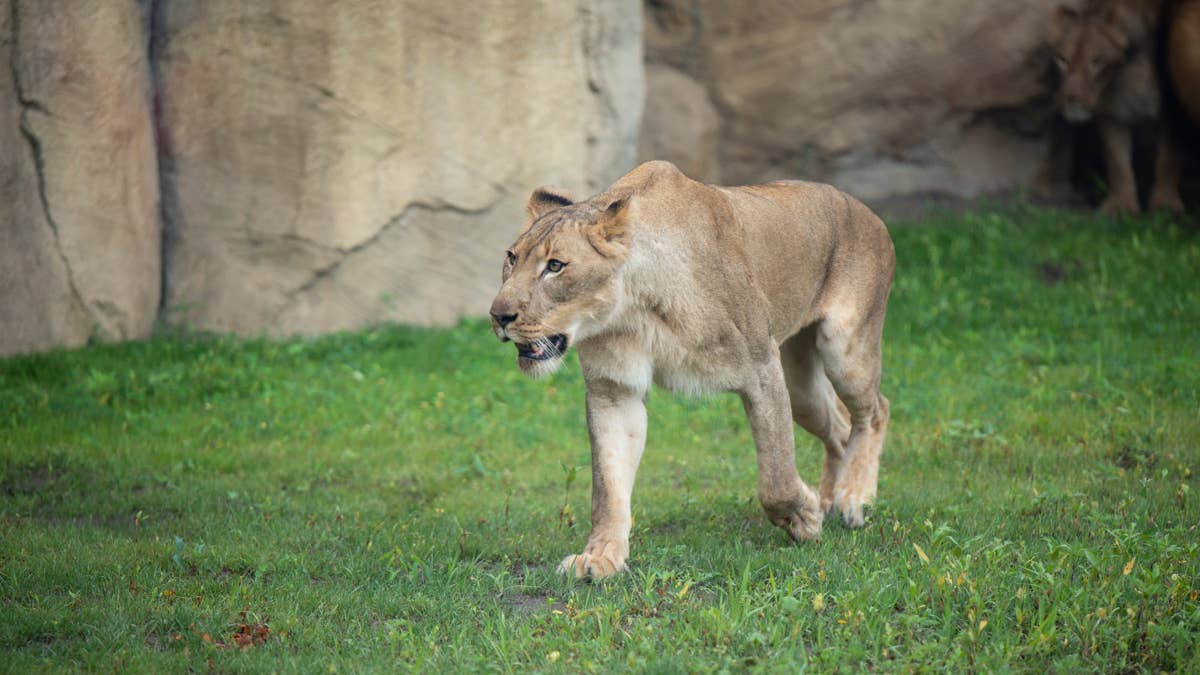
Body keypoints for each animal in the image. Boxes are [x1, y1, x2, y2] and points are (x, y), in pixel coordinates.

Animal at [489, 161, 895, 579]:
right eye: (511, 258)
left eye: (555, 266)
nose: (498, 316)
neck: (635, 307)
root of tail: (866, 211)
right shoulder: (614, 390)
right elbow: (608, 486)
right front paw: (600, 557)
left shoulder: (761, 367)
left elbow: (777, 474)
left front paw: (805, 518)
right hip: (800, 386)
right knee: (841, 427)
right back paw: (833, 497)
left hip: (843, 348)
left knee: (875, 410)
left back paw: (853, 498)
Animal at [1048, 0, 1183, 214]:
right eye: (1062, 59)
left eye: (1097, 62)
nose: (1071, 99)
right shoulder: (1111, 113)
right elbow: (1118, 163)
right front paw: (1122, 206)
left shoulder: (1172, 109)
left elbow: (1168, 159)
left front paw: (1166, 204)